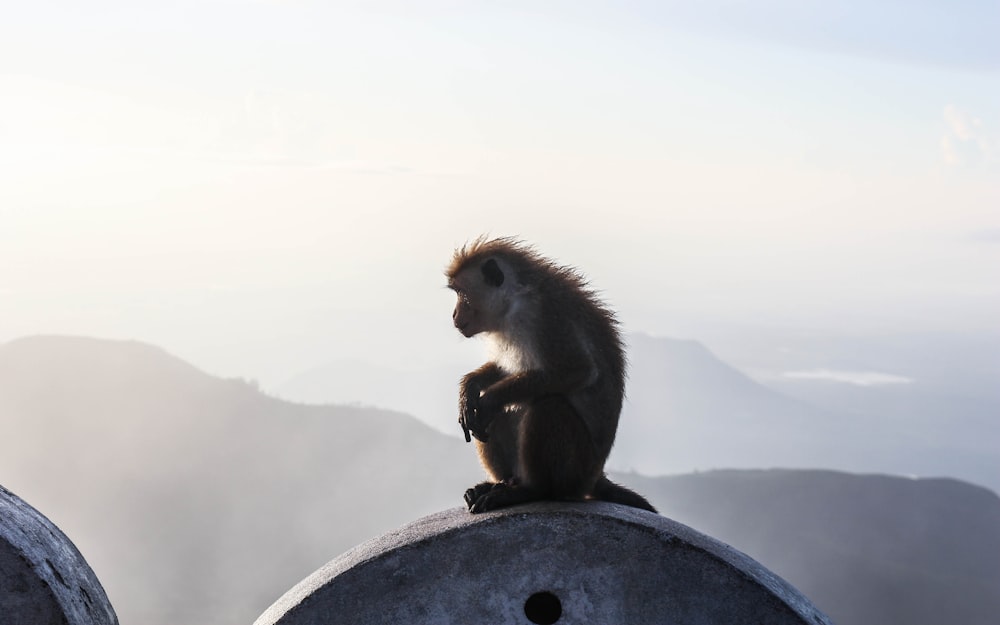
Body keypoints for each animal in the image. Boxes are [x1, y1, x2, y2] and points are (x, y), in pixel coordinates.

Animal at [446, 236, 656, 516]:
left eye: (462, 293)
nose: (454, 315)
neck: (513, 298)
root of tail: (596, 477)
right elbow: (506, 370)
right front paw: (469, 387)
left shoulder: (544, 317)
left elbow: (577, 370)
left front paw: (489, 398)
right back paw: (501, 483)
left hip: (576, 470)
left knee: (549, 405)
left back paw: (530, 490)